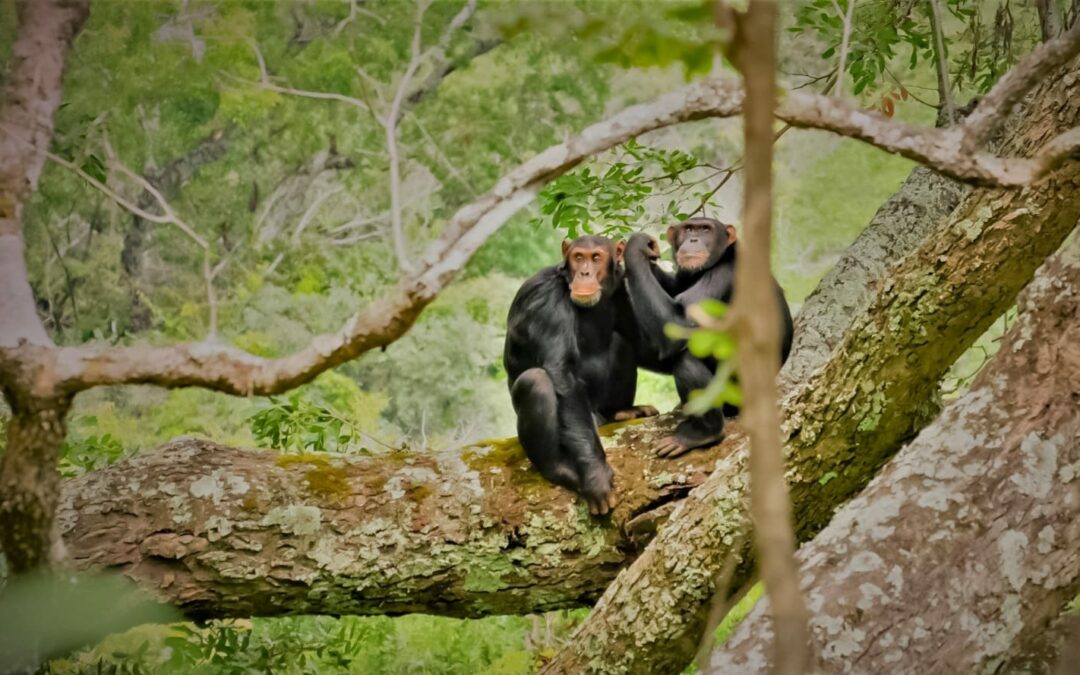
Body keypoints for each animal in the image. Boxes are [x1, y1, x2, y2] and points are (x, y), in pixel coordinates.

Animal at [503, 234, 656, 514]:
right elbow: (560, 372)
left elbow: (648, 346)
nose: (585, 272)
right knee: (536, 381)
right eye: (578, 257)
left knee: (621, 341)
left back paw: (622, 411)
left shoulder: (621, 286)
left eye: (595, 258)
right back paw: (559, 469)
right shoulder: (546, 298)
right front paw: (596, 476)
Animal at [617, 216, 794, 457]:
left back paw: (703, 433)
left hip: (735, 392)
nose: (693, 239)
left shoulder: (724, 275)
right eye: (689, 228)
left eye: (705, 229)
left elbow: (678, 322)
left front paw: (637, 246)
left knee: (686, 360)